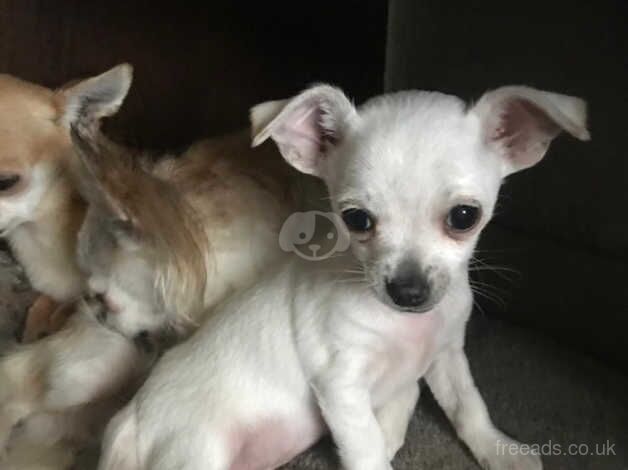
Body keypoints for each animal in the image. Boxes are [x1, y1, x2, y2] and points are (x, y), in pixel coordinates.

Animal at [99, 82, 588, 468]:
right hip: (196, 452)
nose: (408, 290)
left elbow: (467, 406)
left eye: (464, 217)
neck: (404, 328)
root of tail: (130, 419)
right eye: (356, 219)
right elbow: (368, 451)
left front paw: (499, 450)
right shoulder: (341, 386)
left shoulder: (447, 354)